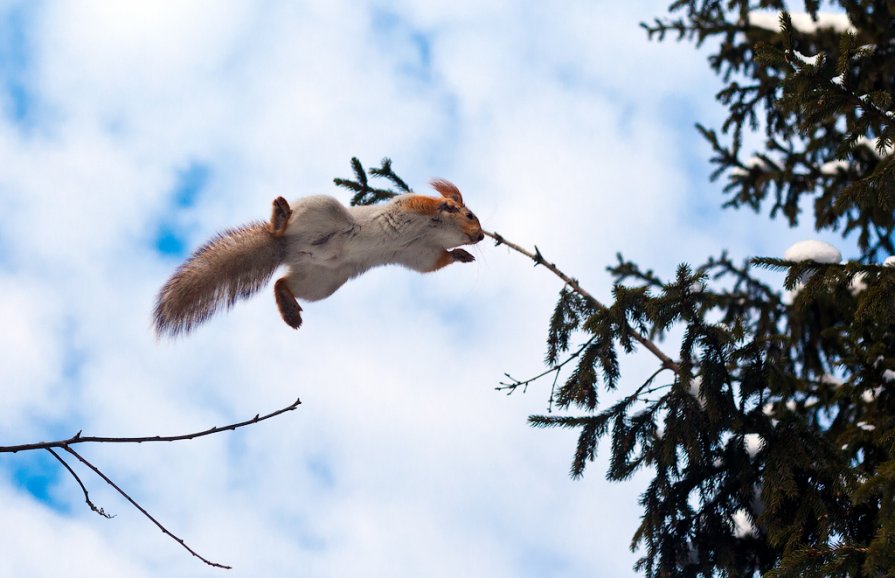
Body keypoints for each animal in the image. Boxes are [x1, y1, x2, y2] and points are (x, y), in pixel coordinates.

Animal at [153, 178, 484, 336]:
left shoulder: (420, 253)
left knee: (281, 283)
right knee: (281, 229)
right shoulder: (412, 207)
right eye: (469, 215)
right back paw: (281, 215)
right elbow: (422, 202)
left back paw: (290, 310)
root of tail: (287, 249)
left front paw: (461, 255)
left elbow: (435, 263)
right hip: (319, 209)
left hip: (323, 282)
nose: (481, 236)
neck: (431, 232)